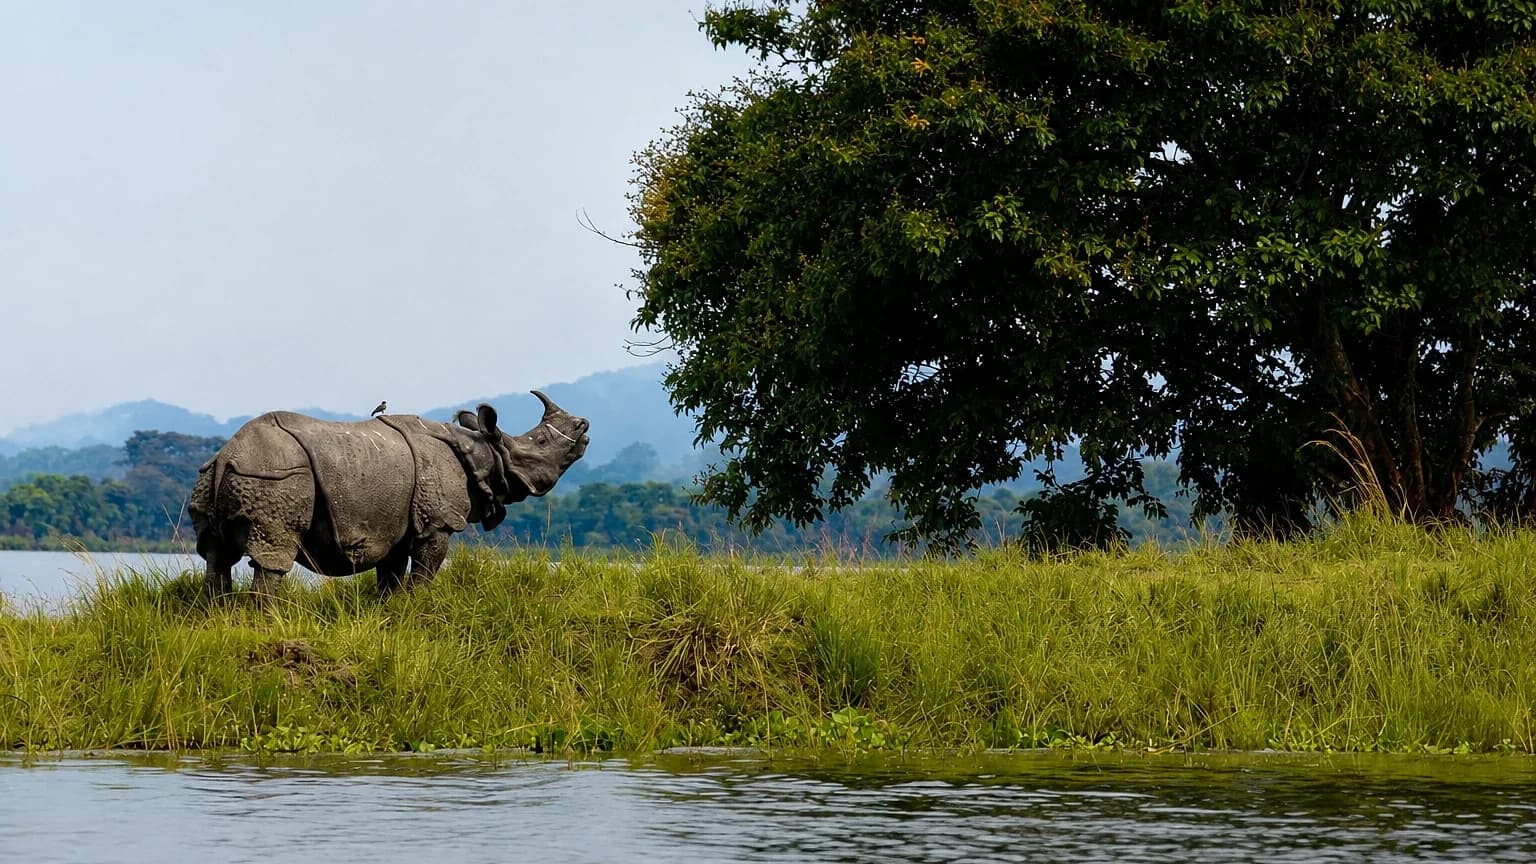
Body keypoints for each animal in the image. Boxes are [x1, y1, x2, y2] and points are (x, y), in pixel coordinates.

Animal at [188, 391, 589, 597]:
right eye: (541, 442)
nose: (584, 427)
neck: (481, 450)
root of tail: (227, 454)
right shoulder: (437, 522)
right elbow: (426, 569)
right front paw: (420, 606)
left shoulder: (395, 522)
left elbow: (391, 575)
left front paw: (392, 611)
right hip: (276, 476)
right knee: (273, 553)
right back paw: (267, 617)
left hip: (211, 478)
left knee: (216, 554)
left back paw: (220, 612)